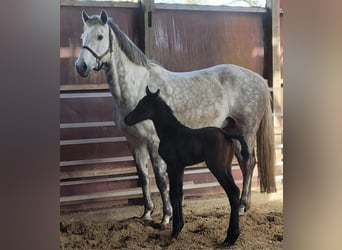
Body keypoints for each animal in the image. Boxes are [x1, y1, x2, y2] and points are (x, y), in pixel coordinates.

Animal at [125, 87, 248, 245]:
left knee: (232, 192)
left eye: (144, 104)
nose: (127, 119)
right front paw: (179, 227)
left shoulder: (172, 166)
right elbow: (179, 193)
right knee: (234, 192)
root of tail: (226, 134)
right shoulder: (180, 168)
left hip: (218, 168)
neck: (170, 132)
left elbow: (173, 194)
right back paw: (231, 236)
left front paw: (174, 232)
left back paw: (231, 238)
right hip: (227, 168)